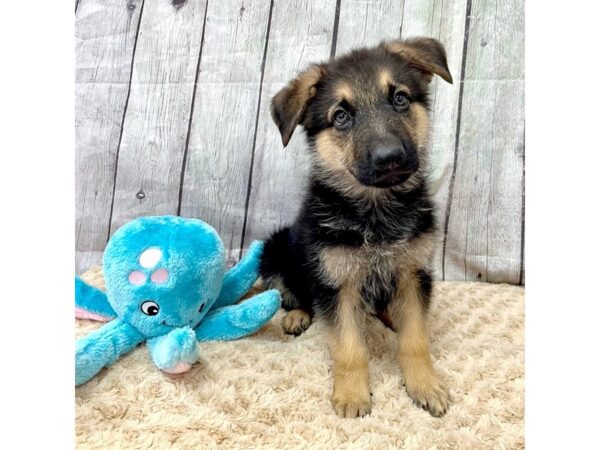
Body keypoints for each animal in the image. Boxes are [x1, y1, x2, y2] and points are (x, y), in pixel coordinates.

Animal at [260, 38, 452, 418]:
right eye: (341, 116)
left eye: (400, 98)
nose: (389, 157)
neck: (376, 210)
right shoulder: (336, 284)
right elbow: (348, 347)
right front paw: (352, 394)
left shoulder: (413, 273)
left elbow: (415, 338)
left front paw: (424, 383)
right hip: (274, 251)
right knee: (295, 295)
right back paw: (297, 316)